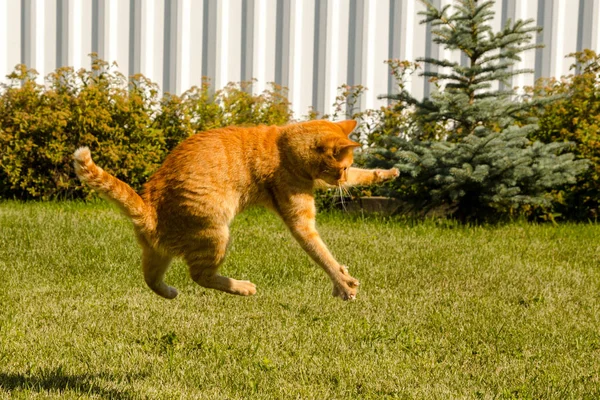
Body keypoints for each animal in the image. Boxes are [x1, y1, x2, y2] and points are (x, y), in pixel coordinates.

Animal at [74, 120, 398, 302]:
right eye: (340, 168)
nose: (340, 181)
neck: (282, 146)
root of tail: (149, 208)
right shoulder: (300, 220)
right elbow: (321, 254)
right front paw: (343, 283)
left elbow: (364, 175)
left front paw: (388, 173)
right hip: (217, 234)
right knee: (200, 275)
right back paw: (243, 288)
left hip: (157, 254)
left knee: (150, 279)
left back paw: (170, 293)